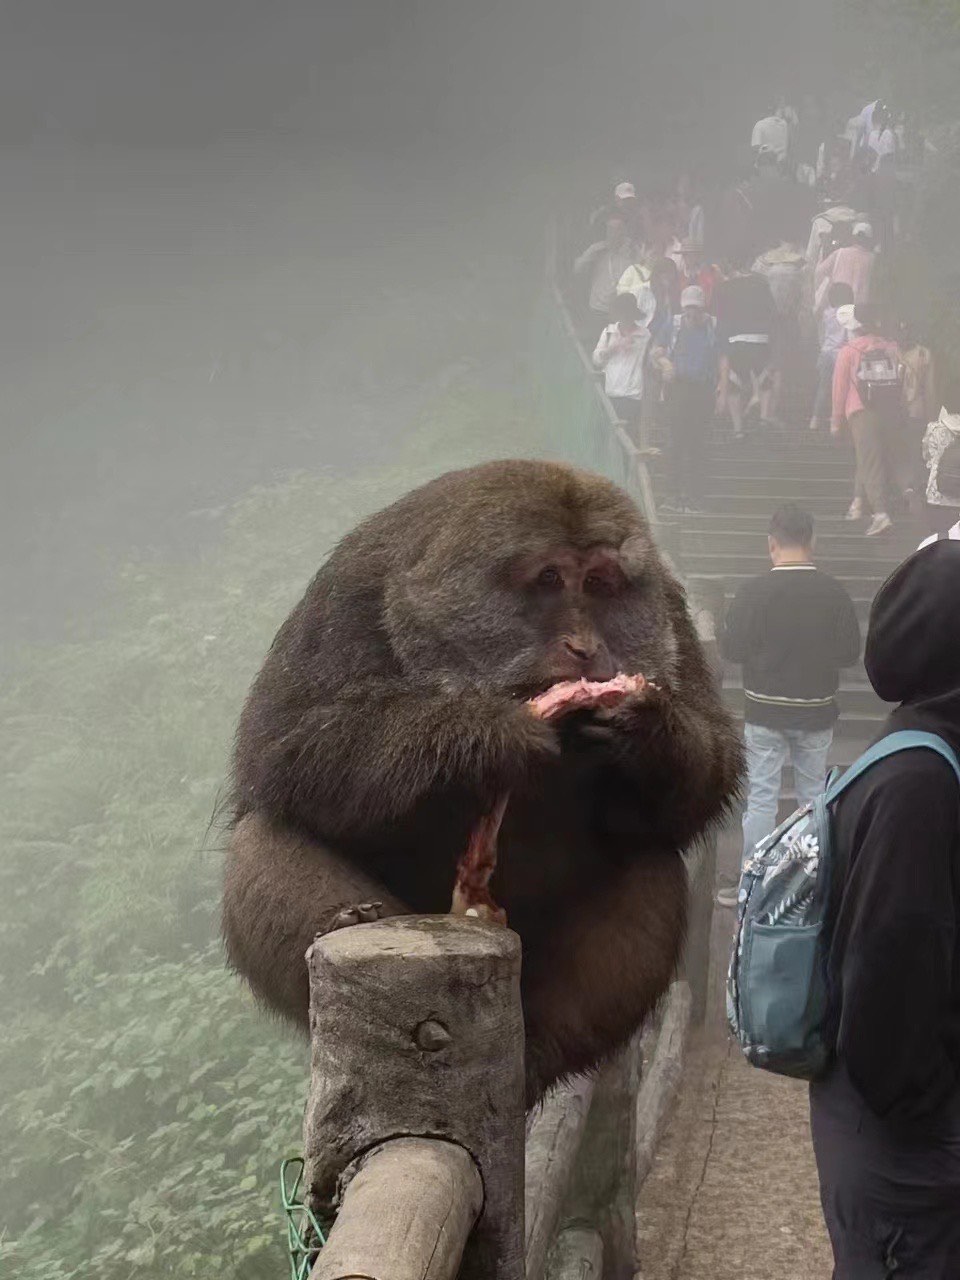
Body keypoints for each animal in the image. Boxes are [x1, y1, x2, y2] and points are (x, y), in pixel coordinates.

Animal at [224, 458, 742, 1100]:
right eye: (550, 579)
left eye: (599, 584)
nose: (585, 646)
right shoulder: (348, 592)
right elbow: (285, 746)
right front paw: (486, 733)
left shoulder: (668, 611)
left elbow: (704, 779)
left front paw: (646, 728)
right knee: (263, 832)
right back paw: (345, 920)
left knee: (650, 861)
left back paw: (541, 1049)